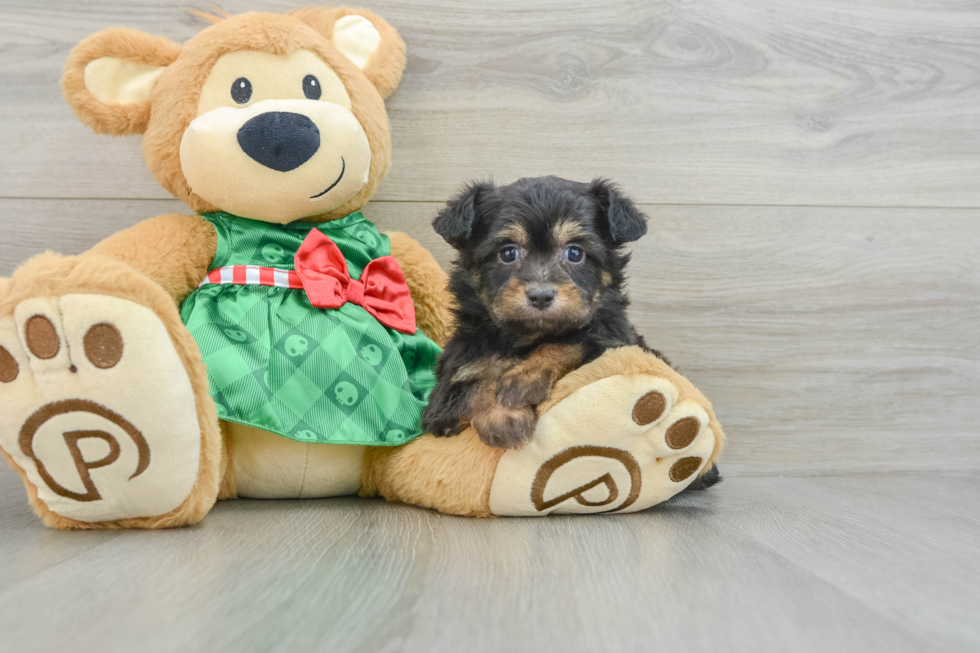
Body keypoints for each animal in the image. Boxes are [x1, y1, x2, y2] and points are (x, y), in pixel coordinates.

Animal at [422, 173, 668, 448]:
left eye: (575, 253)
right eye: (508, 253)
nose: (541, 296)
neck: (527, 336)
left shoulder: (615, 342)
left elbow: (572, 341)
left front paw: (524, 378)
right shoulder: (443, 395)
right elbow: (472, 384)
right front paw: (502, 414)